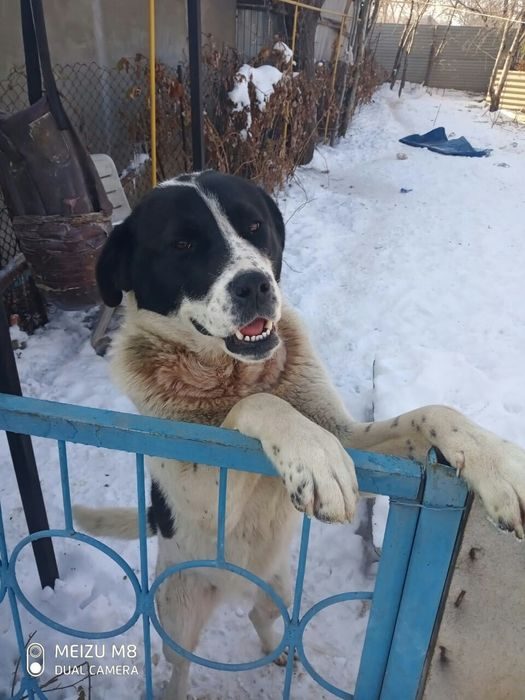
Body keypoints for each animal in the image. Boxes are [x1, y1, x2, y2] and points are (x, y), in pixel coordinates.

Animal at [75, 171, 524, 700]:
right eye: (181, 244)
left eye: (254, 227)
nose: (254, 284)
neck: (234, 373)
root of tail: (235, 587)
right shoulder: (202, 492)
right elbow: (261, 405)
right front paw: (314, 458)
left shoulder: (356, 443)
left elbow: (432, 413)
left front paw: (495, 461)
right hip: (178, 610)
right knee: (180, 664)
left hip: (279, 588)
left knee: (261, 615)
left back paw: (280, 650)